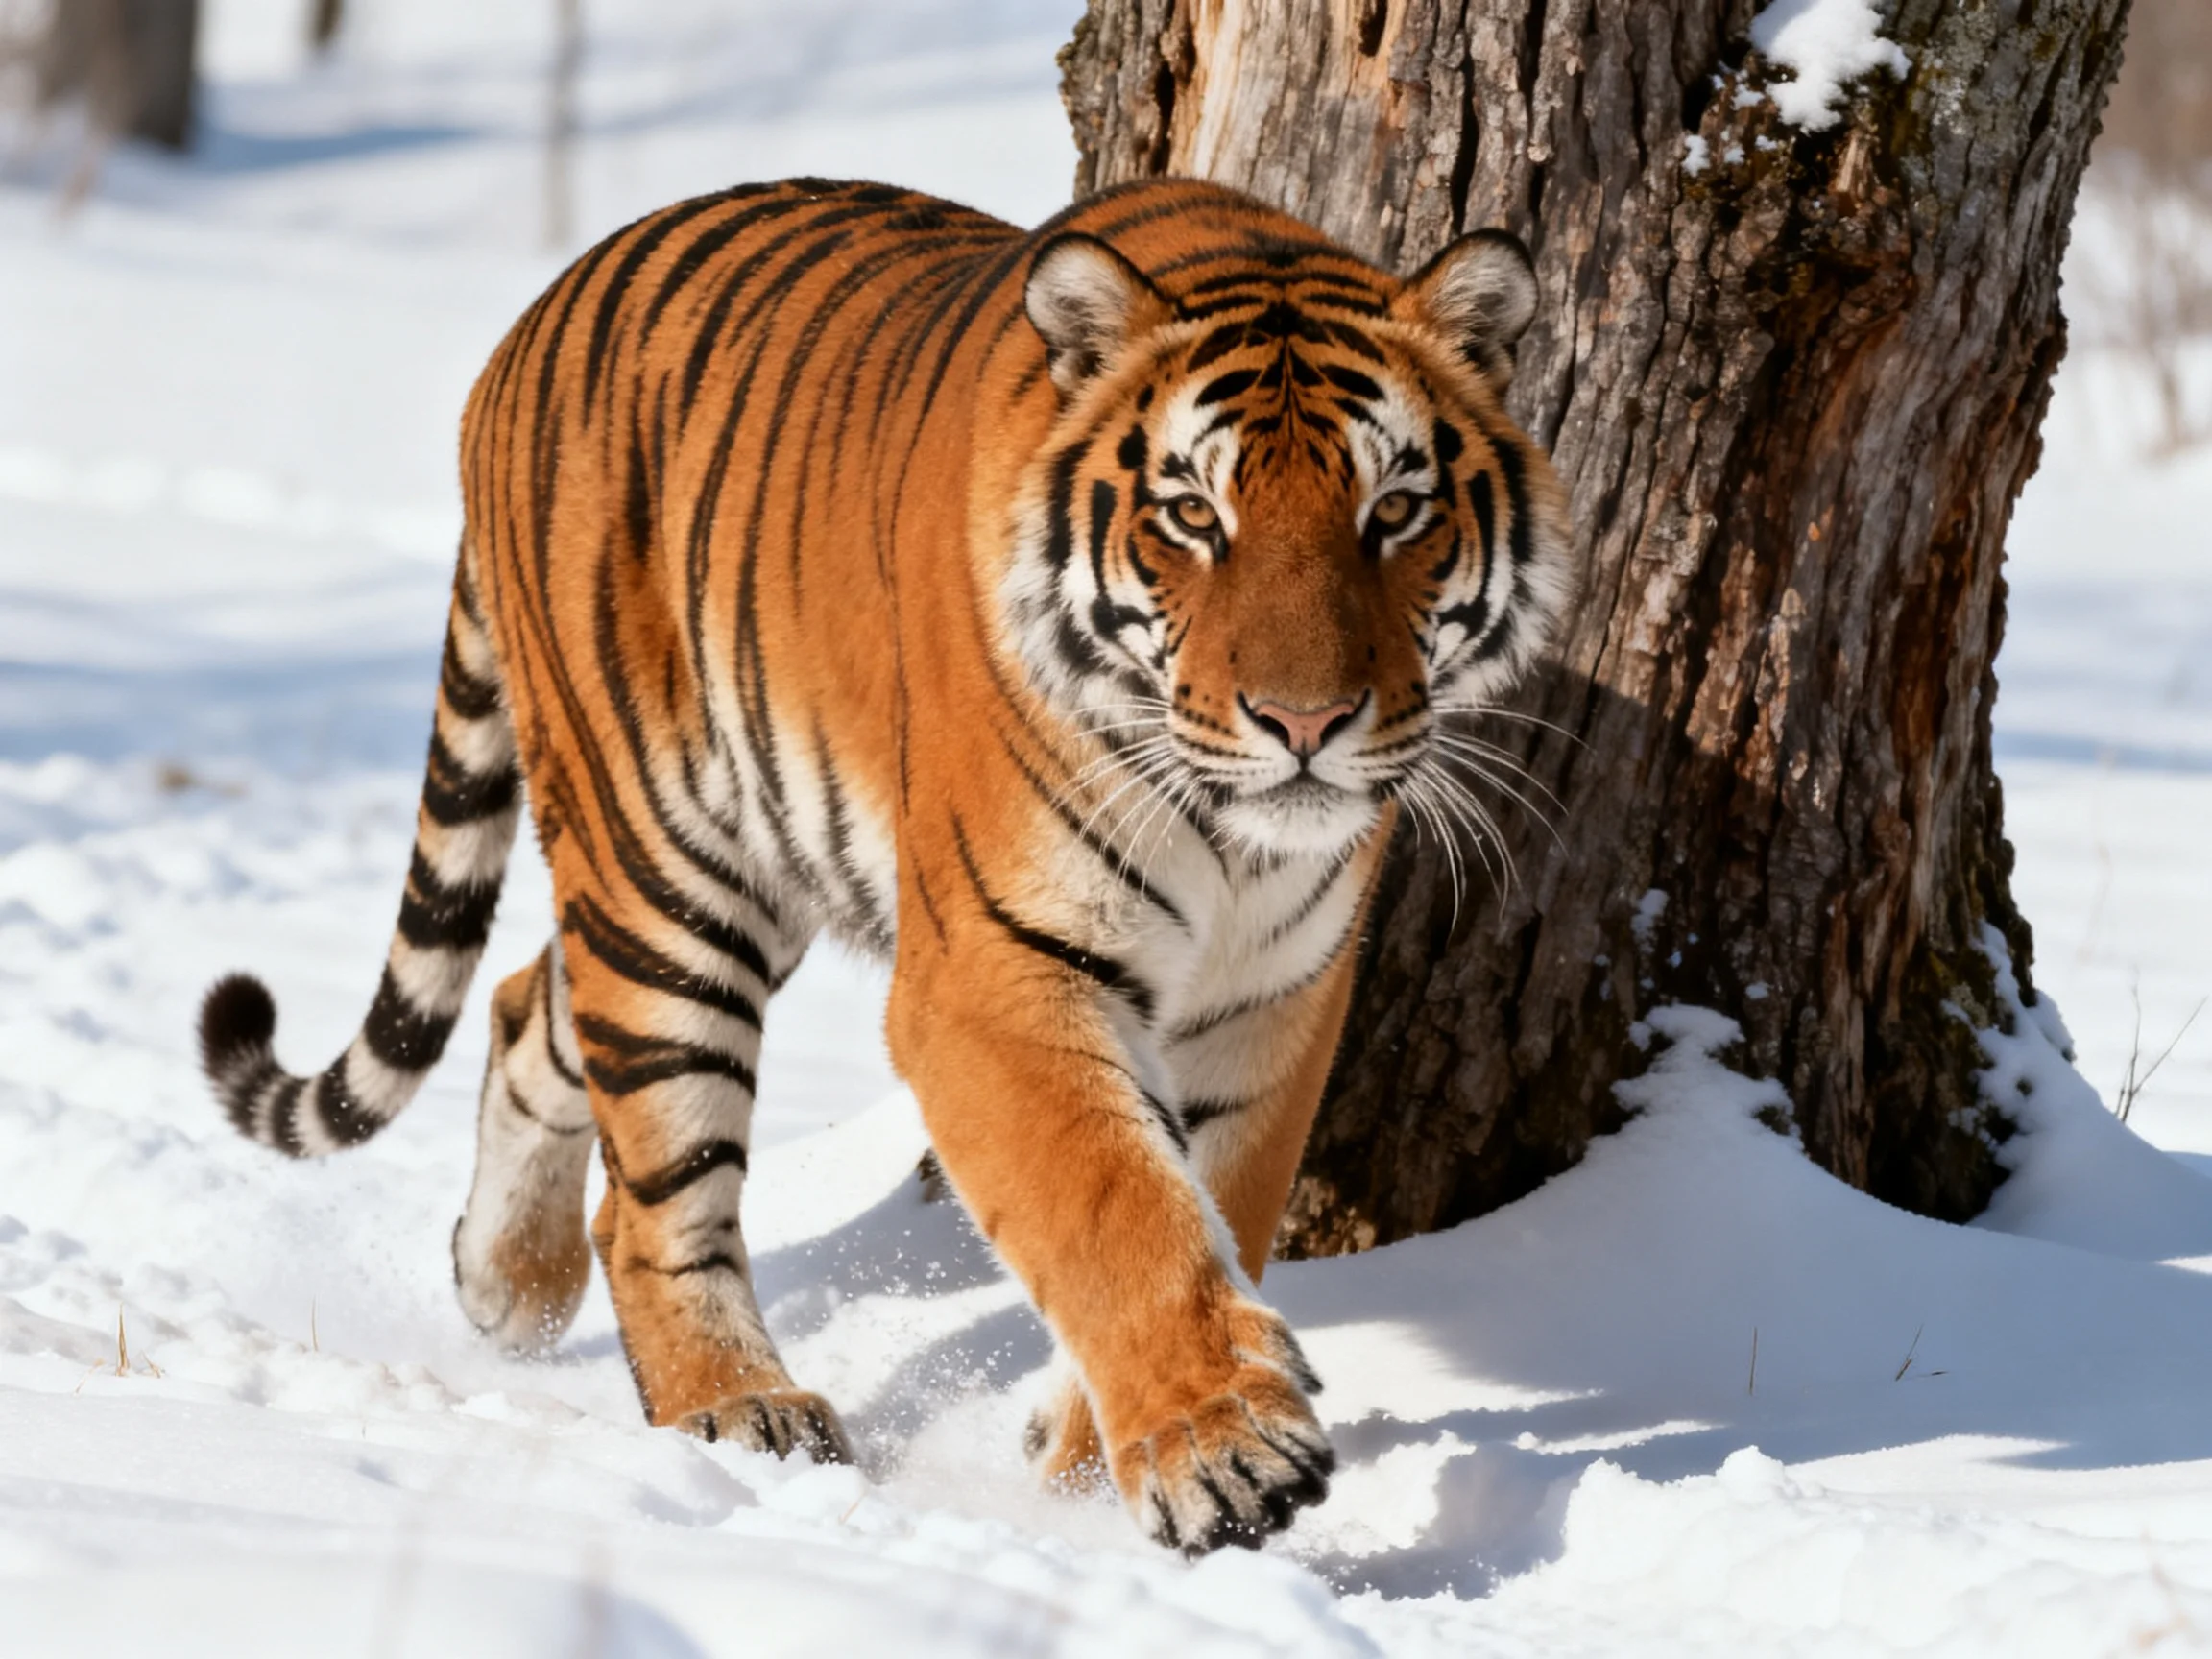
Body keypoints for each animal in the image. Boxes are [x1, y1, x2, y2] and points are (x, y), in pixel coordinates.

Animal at [197, 176, 1572, 1554]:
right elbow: (1114, 1209)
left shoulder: (1273, 1000)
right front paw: (1221, 1452)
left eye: (1394, 512)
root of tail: (532, 320)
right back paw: (734, 1407)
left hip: (752, 872)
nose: (1305, 723)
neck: (1235, 842)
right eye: (1194, 515)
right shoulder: (992, 975)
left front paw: (1086, 1481)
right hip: (668, 871)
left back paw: (506, 1285)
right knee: (649, 1193)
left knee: (531, 1001)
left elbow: (1210, 1200)